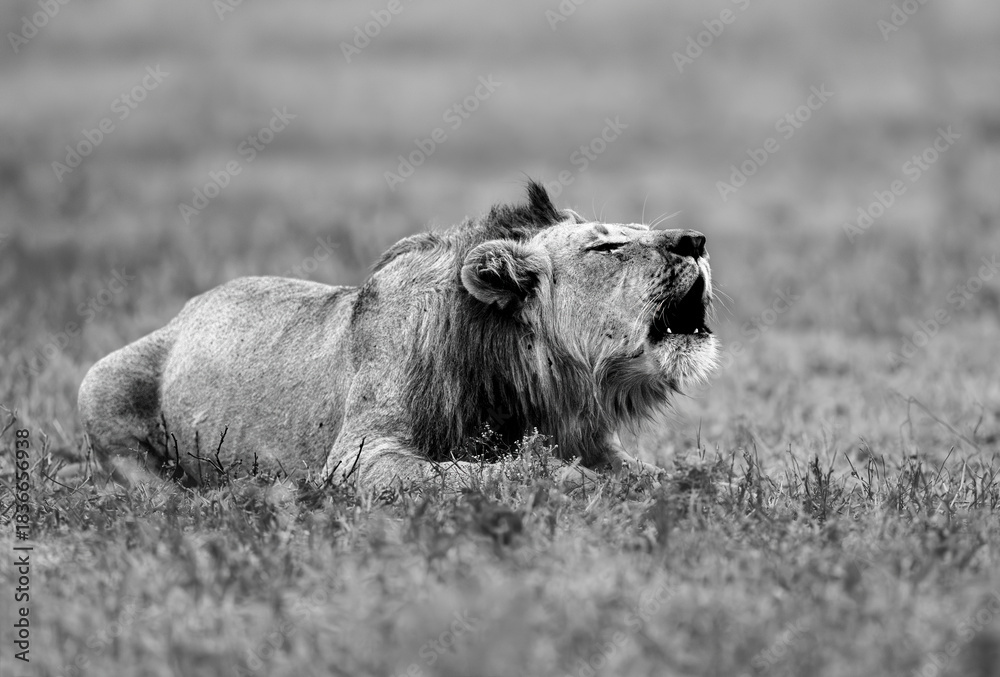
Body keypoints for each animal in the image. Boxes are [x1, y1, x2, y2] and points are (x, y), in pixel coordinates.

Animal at [78, 182, 718, 491]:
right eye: (607, 247)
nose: (695, 240)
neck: (524, 381)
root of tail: (186, 311)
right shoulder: (359, 460)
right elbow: (485, 471)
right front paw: (566, 480)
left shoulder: (592, 440)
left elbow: (657, 473)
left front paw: (701, 481)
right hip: (99, 380)